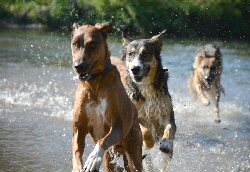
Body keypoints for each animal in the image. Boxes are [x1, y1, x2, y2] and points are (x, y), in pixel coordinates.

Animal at [70, 22, 142, 171]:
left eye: (92, 44)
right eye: (75, 44)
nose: (78, 66)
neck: (94, 83)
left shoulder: (117, 128)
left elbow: (102, 140)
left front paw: (93, 158)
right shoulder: (78, 128)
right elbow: (76, 150)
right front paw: (78, 166)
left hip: (133, 150)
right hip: (110, 157)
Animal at [117, 30, 176, 171]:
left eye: (145, 53)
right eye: (130, 54)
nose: (135, 69)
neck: (146, 87)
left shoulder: (167, 114)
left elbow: (170, 128)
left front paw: (166, 142)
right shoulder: (132, 117)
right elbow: (144, 130)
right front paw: (149, 142)